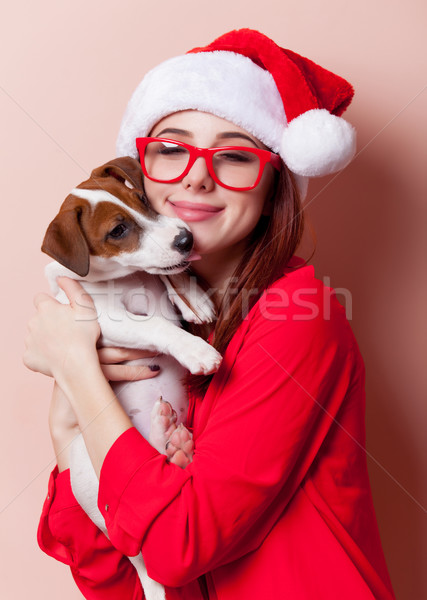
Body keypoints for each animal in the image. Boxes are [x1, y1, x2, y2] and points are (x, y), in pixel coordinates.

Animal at [41, 157, 222, 596]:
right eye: (118, 231)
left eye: (142, 198)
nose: (186, 238)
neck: (125, 278)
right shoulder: (99, 319)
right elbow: (156, 325)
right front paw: (196, 350)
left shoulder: (158, 276)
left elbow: (168, 276)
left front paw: (195, 298)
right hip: (97, 482)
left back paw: (174, 439)